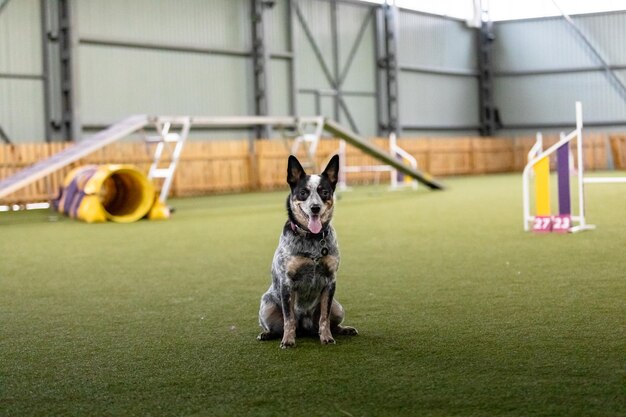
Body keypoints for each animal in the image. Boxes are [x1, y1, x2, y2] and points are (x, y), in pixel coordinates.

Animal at [256, 154, 356, 346]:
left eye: (324, 192)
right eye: (303, 192)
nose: (315, 207)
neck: (313, 240)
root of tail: (305, 327)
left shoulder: (330, 281)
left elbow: (324, 317)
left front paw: (326, 337)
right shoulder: (287, 282)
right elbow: (289, 319)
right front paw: (288, 341)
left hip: (338, 307)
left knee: (331, 322)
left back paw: (344, 329)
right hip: (266, 305)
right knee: (277, 327)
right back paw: (267, 334)